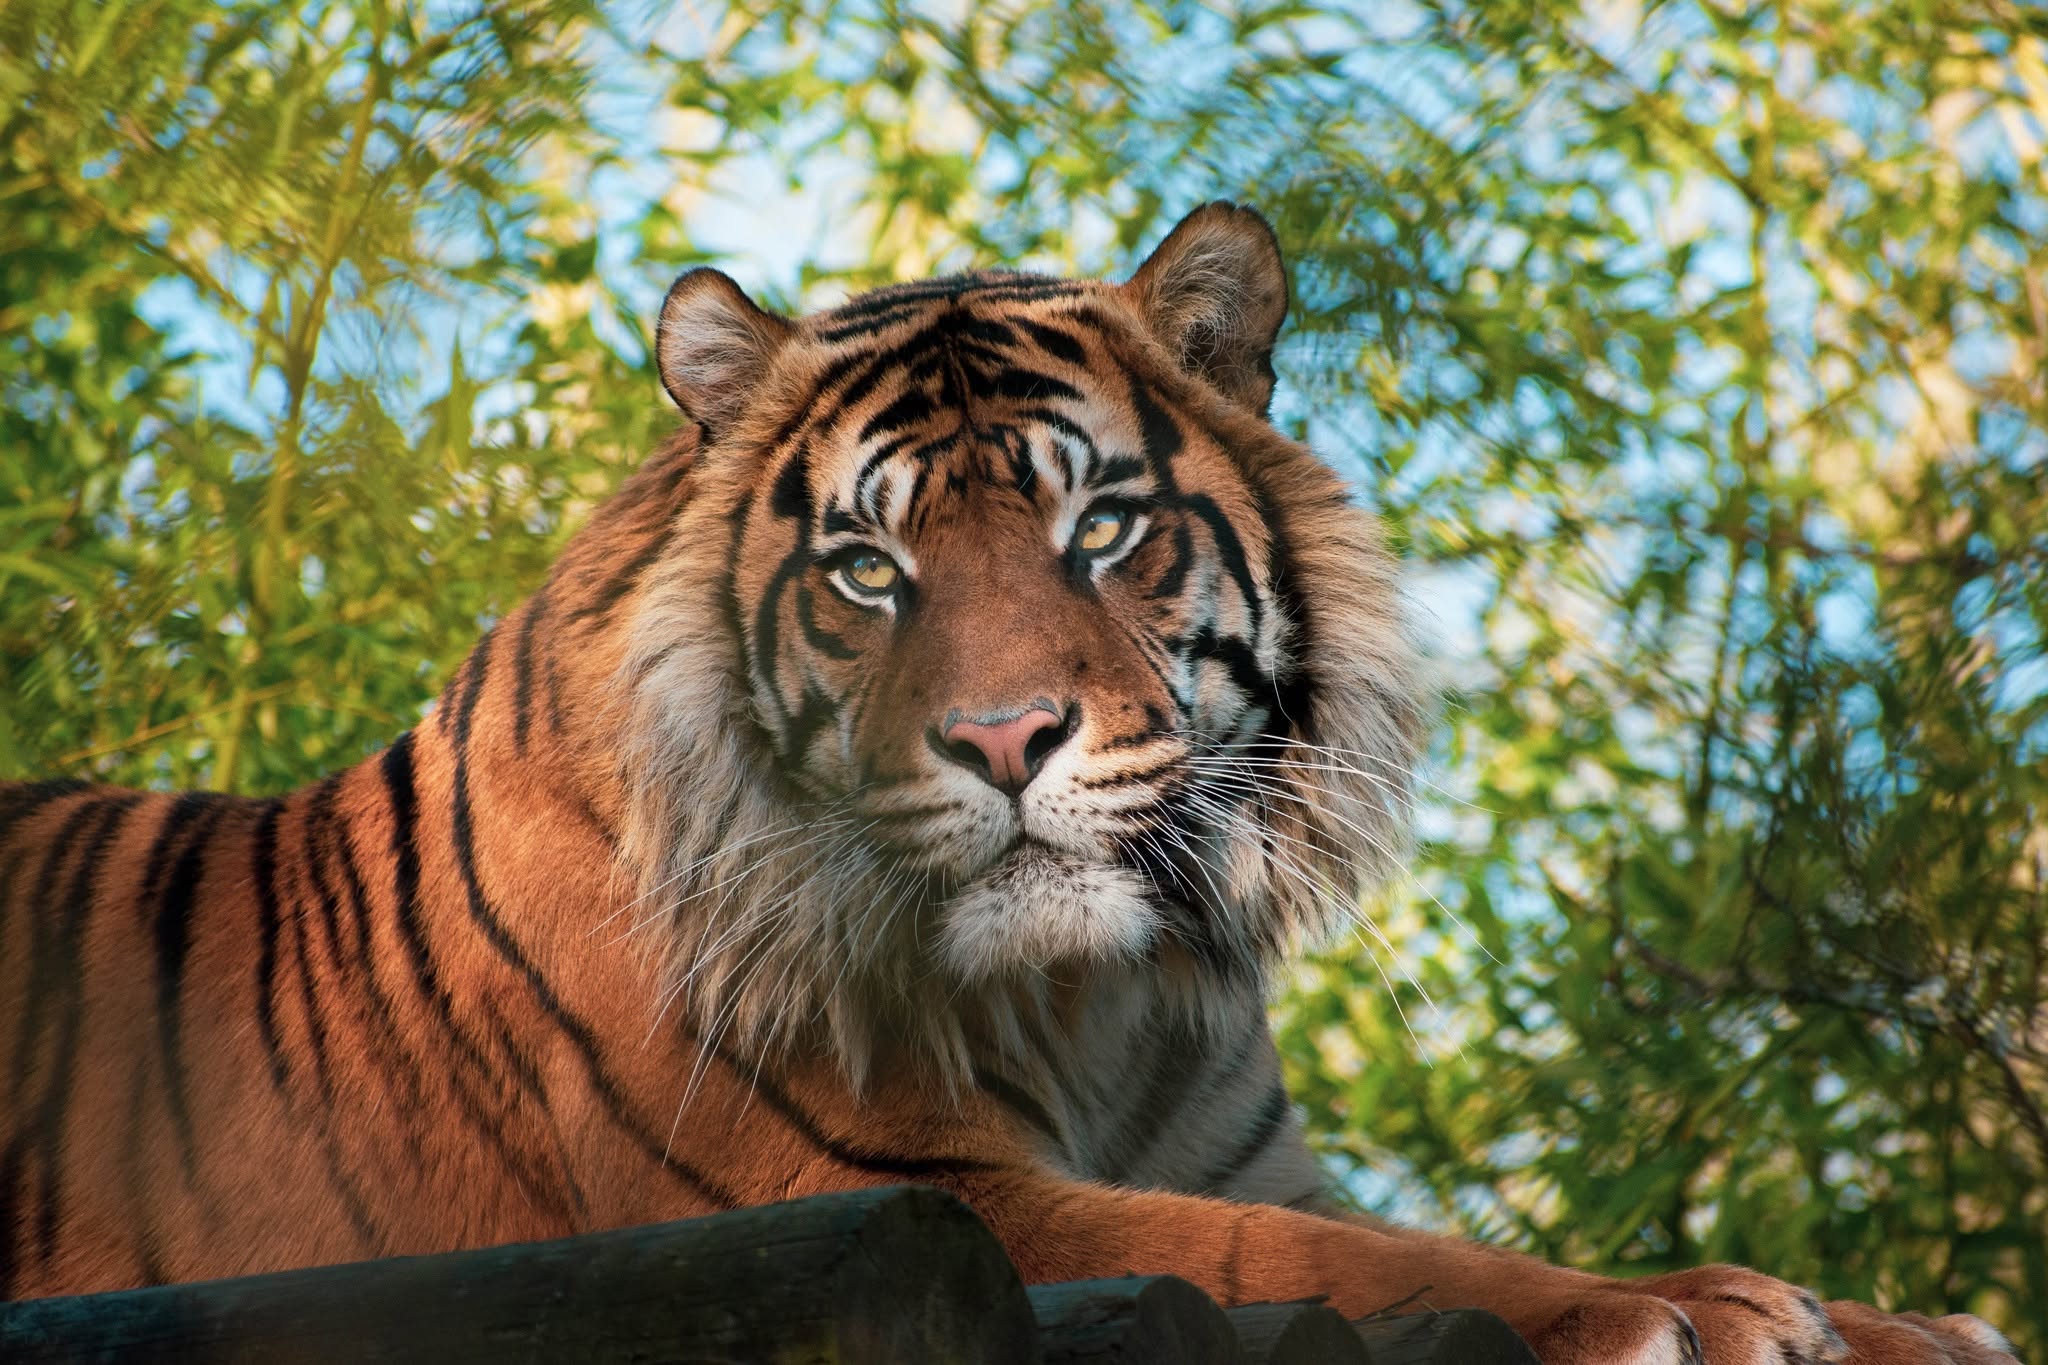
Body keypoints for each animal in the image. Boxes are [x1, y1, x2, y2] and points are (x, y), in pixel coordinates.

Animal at [0, 202, 2016, 1364]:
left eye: (1099, 528)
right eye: (864, 570)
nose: (1000, 741)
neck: (1100, 1005)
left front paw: (1905, 1325)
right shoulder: (905, 1193)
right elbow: (1329, 1263)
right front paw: (1686, 1308)